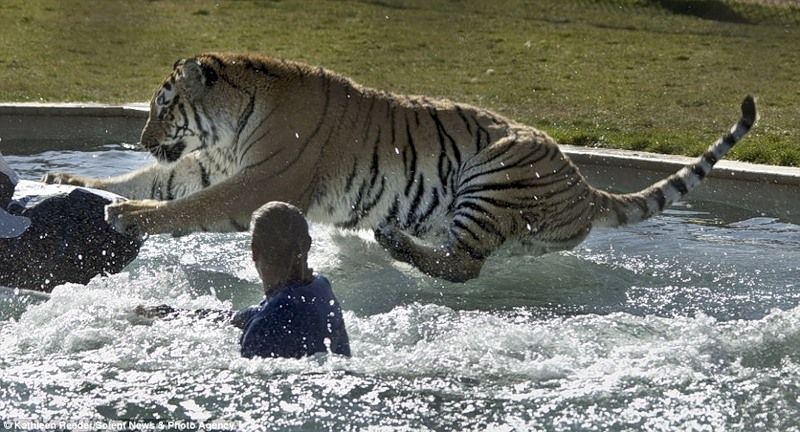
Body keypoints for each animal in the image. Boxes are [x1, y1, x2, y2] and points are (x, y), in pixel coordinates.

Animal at [43, 53, 756, 284]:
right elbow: (155, 181)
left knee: (465, 266)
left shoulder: (256, 184)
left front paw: (128, 214)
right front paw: (70, 181)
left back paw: (394, 242)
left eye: (163, 106)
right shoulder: (210, 165)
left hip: (493, 174)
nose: (142, 136)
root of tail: (584, 184)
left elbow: (180, 205)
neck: (235, 118)